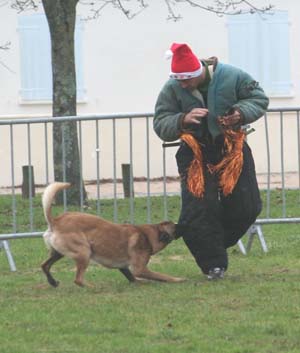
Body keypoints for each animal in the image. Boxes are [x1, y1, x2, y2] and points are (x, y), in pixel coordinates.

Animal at [41, 182, 184, 286]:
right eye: (175, 227)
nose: (182, 223)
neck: (148, 234)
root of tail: (55, 221)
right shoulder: (139, 269)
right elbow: (161, 276)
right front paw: (177, 279)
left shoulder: (124, 268)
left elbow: (133, 278)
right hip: (84, 252)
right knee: (78, 280)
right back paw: (92, 287)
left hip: (58, 253)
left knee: (45, 266)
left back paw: (53, 282)